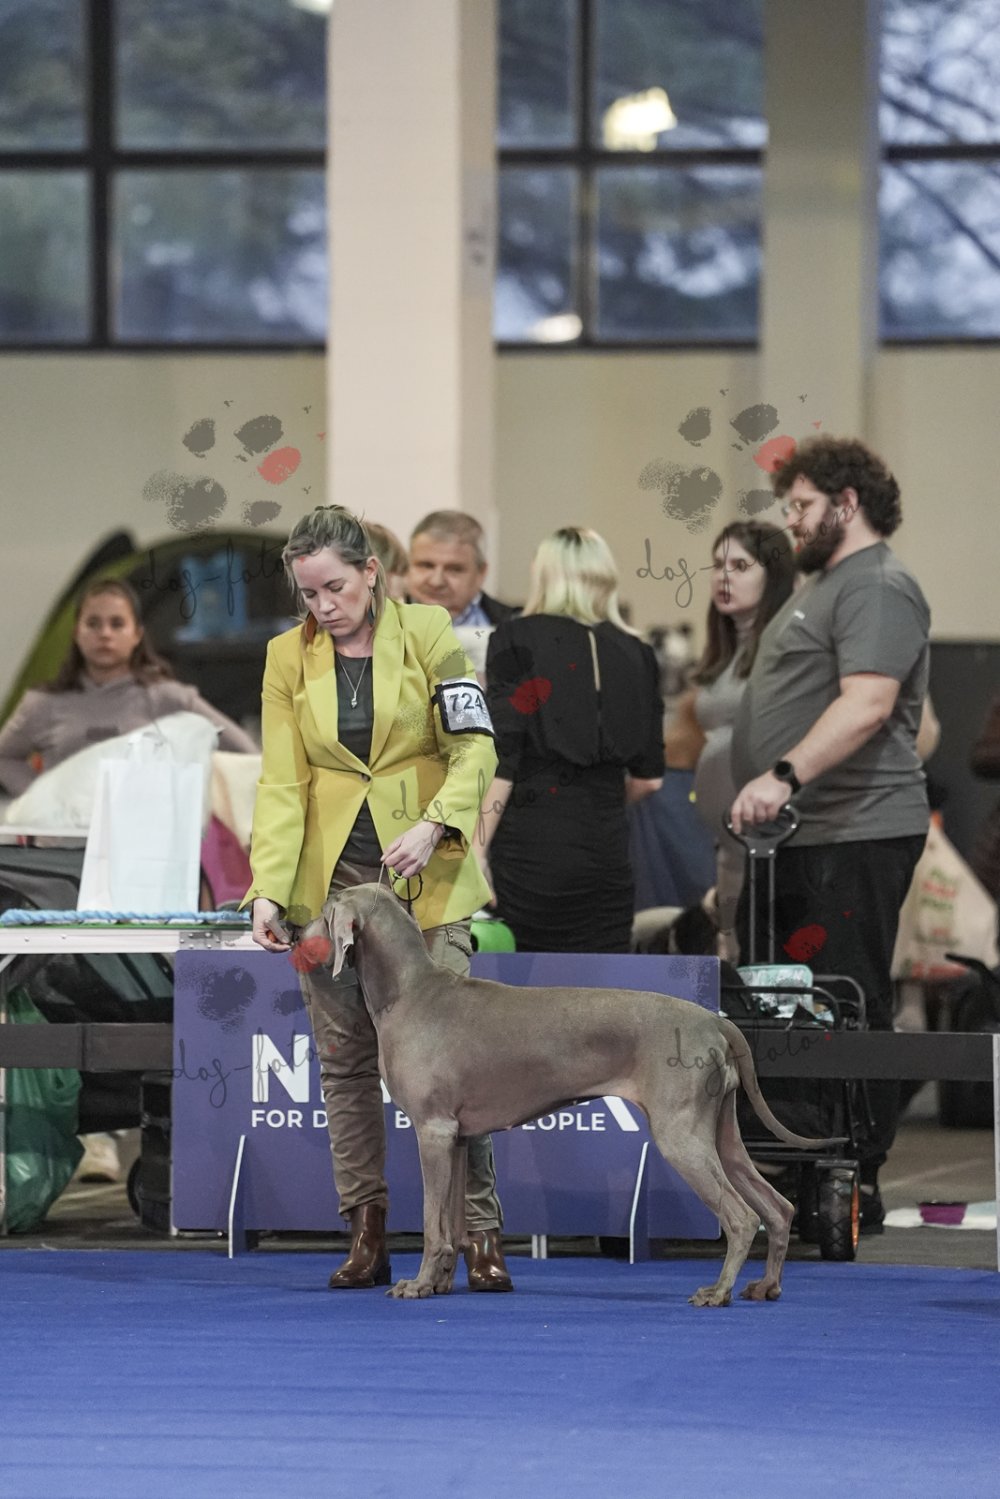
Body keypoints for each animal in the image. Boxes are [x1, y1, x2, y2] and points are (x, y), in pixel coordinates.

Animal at [311, 883, 835, 1305]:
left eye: (325, 908)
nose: (296, 934)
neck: (410, 991)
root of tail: (716, 1020)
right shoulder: (455, 1136)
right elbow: (452, 1224)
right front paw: (437, 1284)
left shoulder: (433, 1131)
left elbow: (431, 1220)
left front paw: (418, 1285)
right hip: (721, 1132)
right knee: (778, 1207)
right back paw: (766, 1286)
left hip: (681, 1134)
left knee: (742, 1217)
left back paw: (717, 1291)